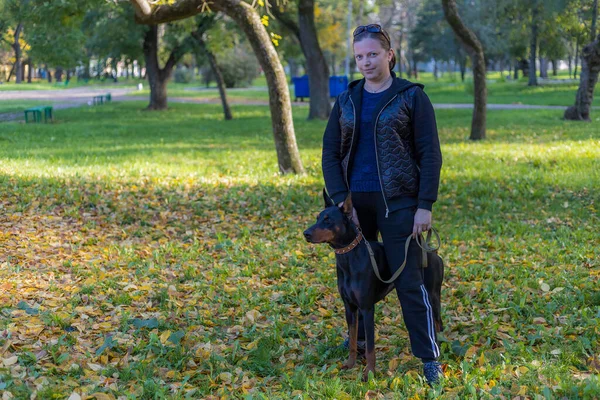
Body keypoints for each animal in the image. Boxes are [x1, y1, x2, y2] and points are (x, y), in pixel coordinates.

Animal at [304, 191, 446, 382]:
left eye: (328, 220)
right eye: (317, 217)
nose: (306, 233)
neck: (349, 258)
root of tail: (432, 250)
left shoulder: (367, 308)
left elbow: (371, 346)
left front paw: (369, 372)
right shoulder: (350, 308)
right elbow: (353, 339)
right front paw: (350, 364)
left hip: (432, 294)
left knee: (437, 322)